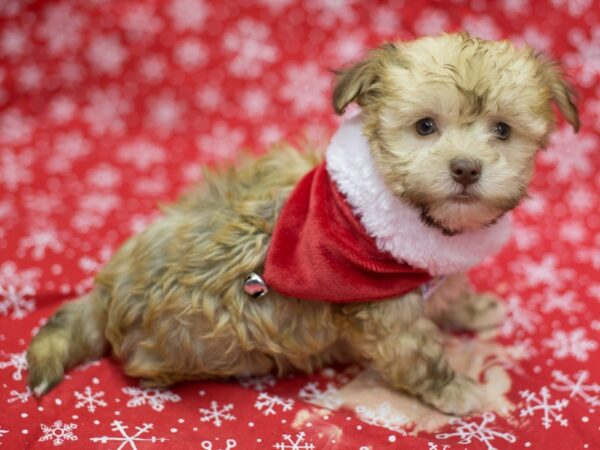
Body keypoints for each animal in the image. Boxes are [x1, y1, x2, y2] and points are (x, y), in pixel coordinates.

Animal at [27, 34, 576, 414]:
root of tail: (106, 291)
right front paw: (454, 388)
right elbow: (418, 354)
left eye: (502, 130)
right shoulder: (385, 311)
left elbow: (449, 292)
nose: (465, 168)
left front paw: (470, 307)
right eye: (425, 127)